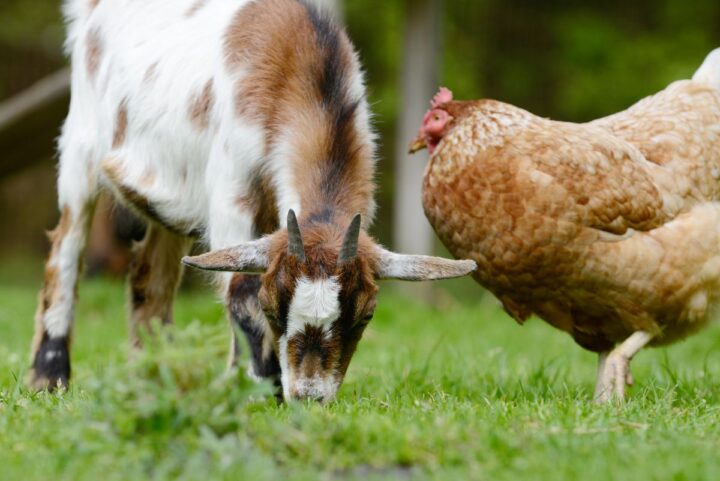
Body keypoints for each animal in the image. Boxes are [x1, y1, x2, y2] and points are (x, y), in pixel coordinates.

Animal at [28, 0, 476, 402]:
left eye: (364, 315)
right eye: (272, 306)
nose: (309, 396)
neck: (300, 65)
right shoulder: (231, 192)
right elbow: (239, 288)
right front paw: (256, 390)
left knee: (148, 275)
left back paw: (153, 377)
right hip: (80, 147)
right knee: (66, 249)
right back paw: (49, 376)